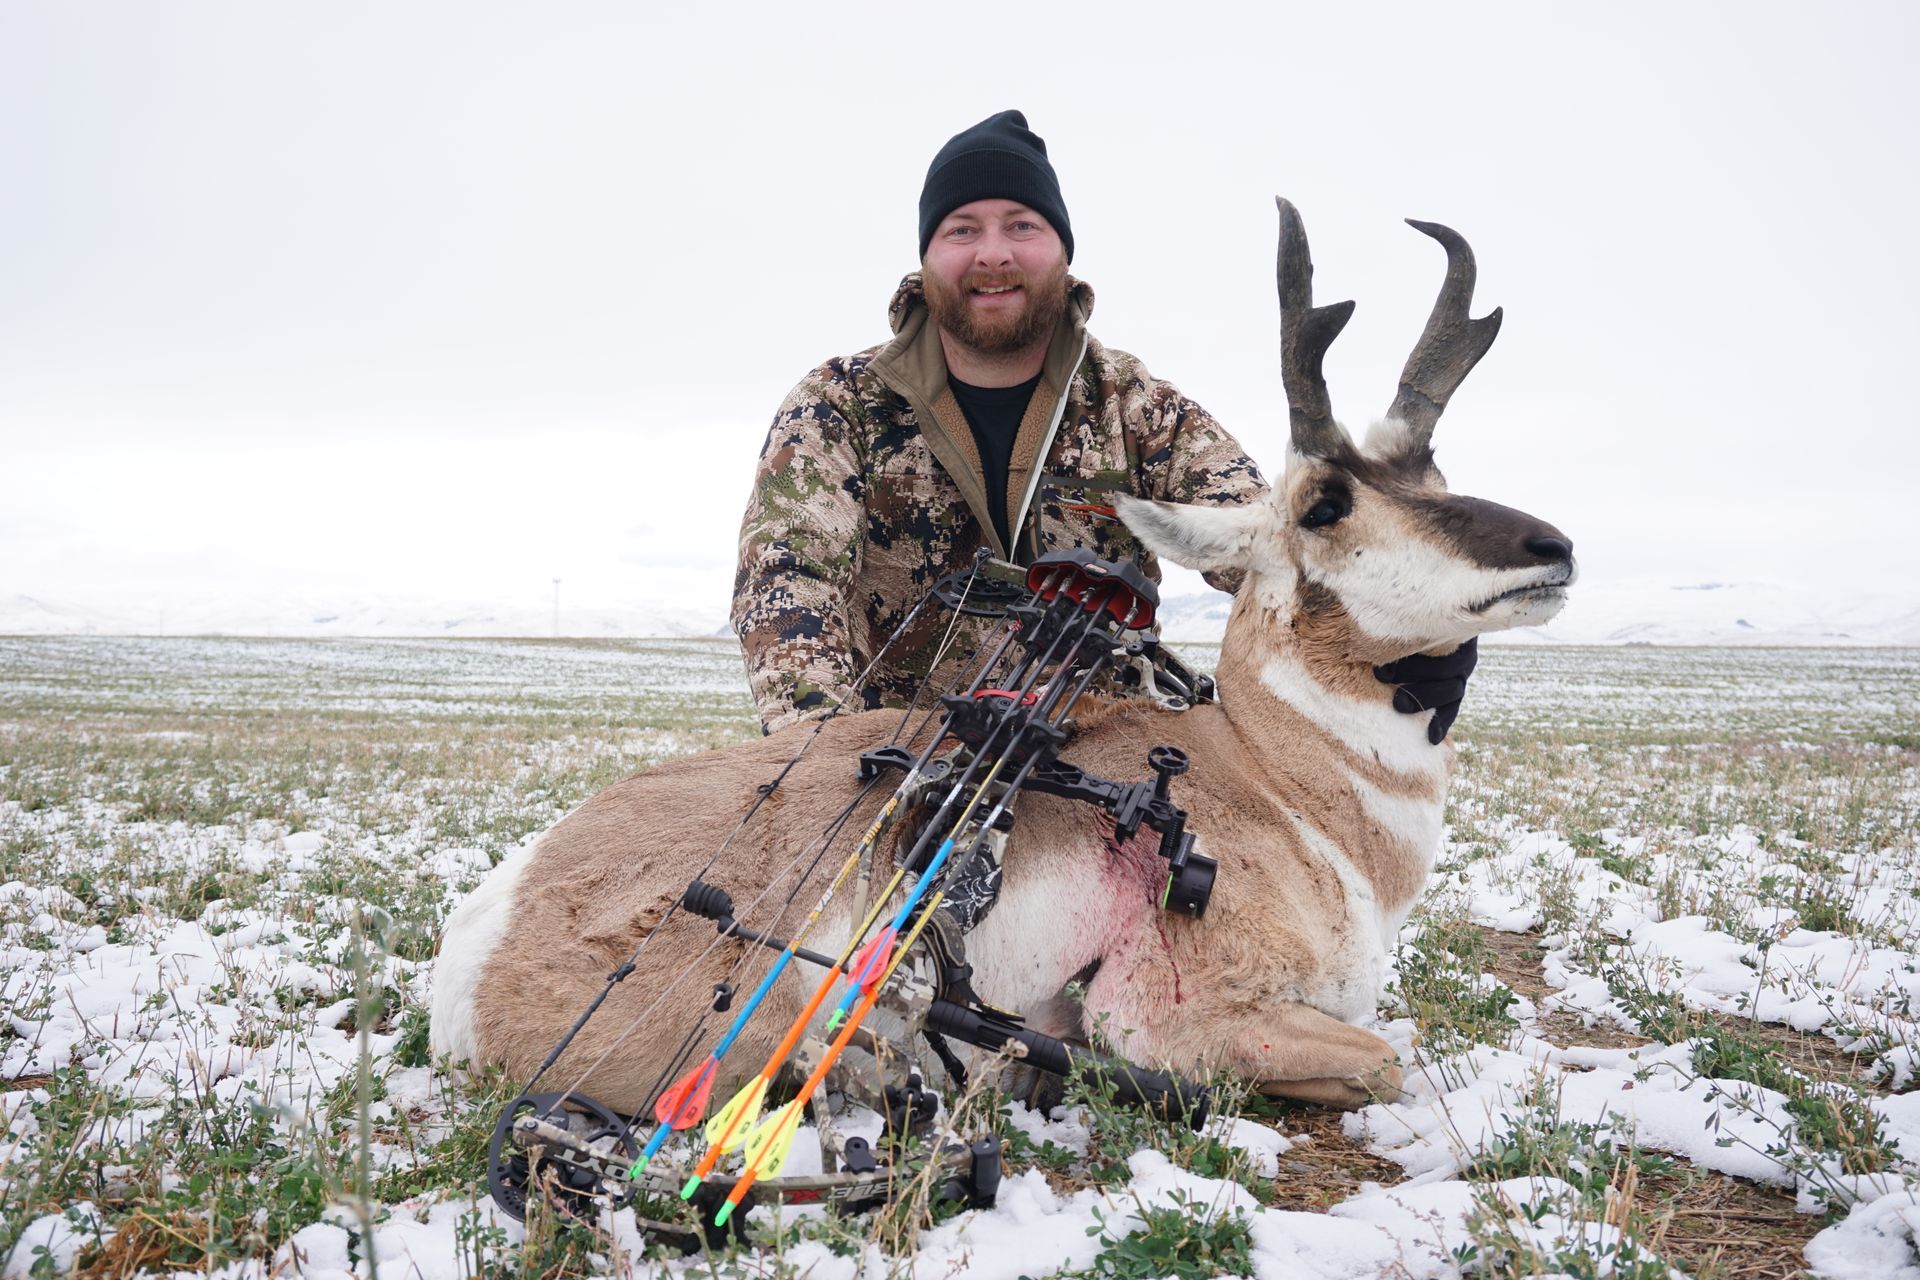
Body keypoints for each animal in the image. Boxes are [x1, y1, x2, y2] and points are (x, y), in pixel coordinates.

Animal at [430, 199, 1574, 1114]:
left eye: (1435, 471)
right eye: (1326, 503)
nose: (1553, 546)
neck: (1273, 780)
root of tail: (477, 943)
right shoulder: (1170, 1019)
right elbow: (1385, 1059)